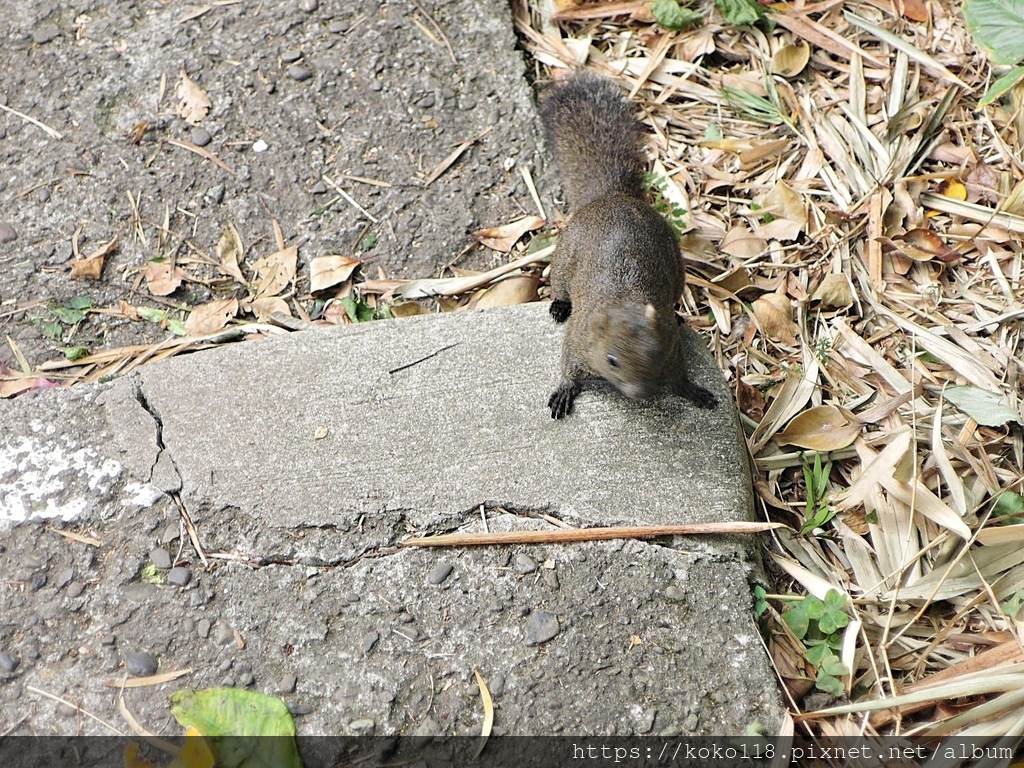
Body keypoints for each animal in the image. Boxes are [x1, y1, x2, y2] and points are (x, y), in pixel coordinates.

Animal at [540, 75, 716, 417]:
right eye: (612, 360)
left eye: (655, 353)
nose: (643, 394)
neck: (623, 299)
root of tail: (612, 195)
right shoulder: (577, 338)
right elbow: (568, 364)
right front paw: (564, 390)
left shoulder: (672, 344)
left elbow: (679, 373)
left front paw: (692, 390)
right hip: (563, 261)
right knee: (559, 287)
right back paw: (559, 305)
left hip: (676, 270)